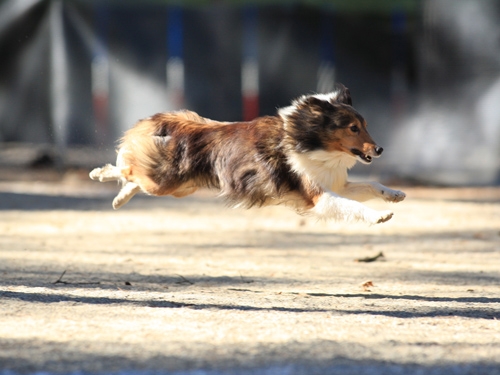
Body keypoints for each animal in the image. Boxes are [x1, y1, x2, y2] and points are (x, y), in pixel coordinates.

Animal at [90, 85, 404, 225]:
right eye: (353, 128)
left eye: (365, 126)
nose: (379, 149)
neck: (305, 139)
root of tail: (178, 124)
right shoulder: (318, 195)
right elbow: (352, 206)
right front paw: (380, 215)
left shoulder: (332, 183)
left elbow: (370, 185)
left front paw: (394, 195)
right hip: (164, 181)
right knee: (127, 170)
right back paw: (99, 173)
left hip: (179, 187)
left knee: (133, 180)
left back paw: (118, 200)